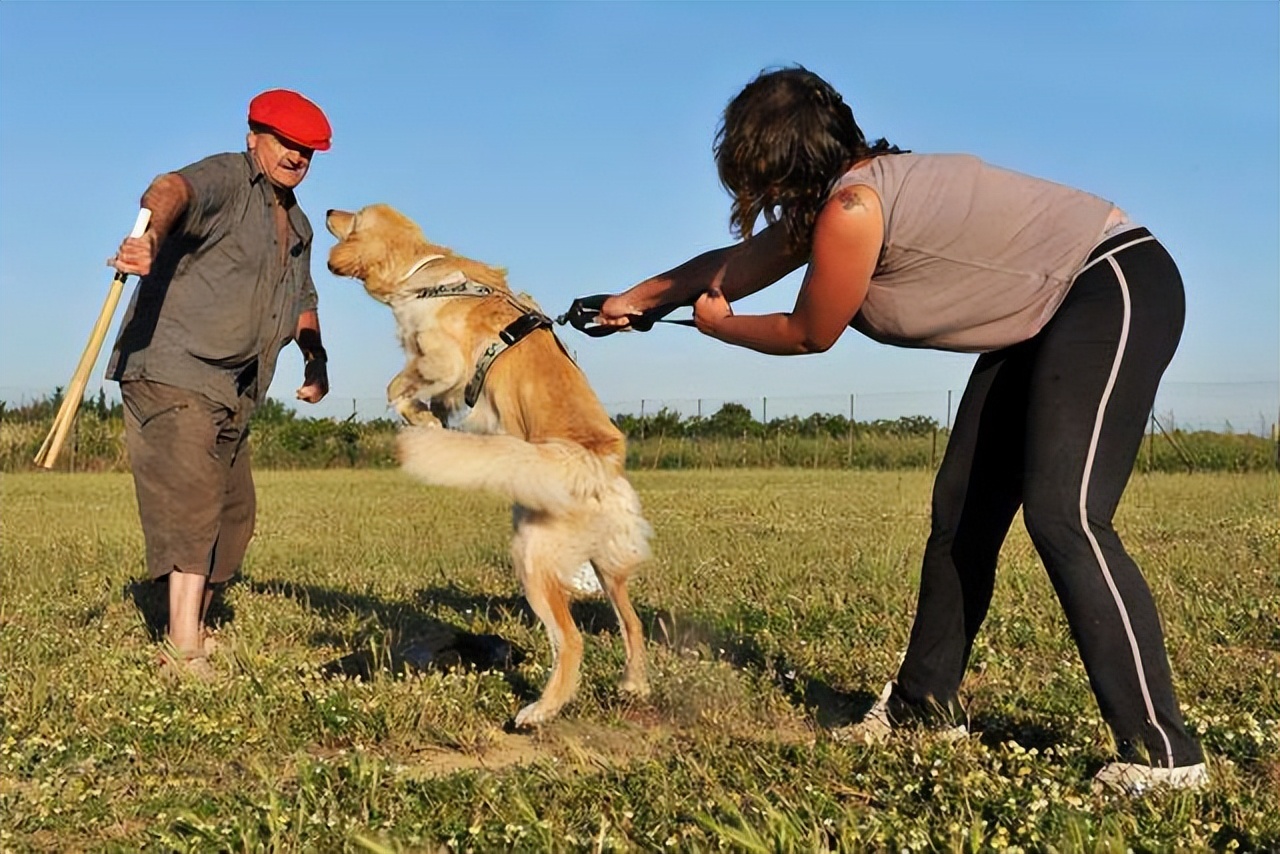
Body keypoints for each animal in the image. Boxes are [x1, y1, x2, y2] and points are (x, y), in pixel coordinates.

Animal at [325, 202, 655, 727]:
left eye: (353, 217)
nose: (328, 209)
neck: (423, 273)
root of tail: (602, 461)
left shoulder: (443, 361)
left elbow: (398, 385)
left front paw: (422, 419)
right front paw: (433, 417)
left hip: (532, 555)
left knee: (572, 641)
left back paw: (539, 710)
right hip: (607, 568)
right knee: (633, 623)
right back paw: (633, 684)